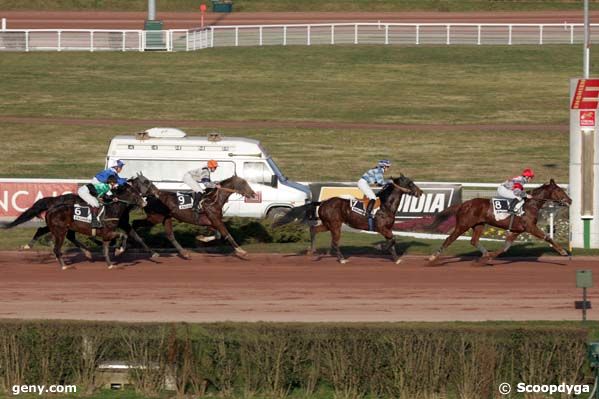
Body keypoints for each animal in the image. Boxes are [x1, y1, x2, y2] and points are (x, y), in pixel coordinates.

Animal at [274, 176, 424, 264]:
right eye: (410, 183)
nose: (421, 192)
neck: (386, 205)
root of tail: (322, 202)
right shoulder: (381, 228)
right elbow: (392, 240)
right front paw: (380, 247)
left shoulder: (388, 228)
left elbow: (392, 241)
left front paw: (396, 259)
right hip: (335, 225)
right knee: (334, 242)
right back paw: (341, 259)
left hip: (328, 224)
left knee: (314, 229)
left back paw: (312, 251)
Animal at [428, 180, 576, 264]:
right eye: (559, 190)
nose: (570, 200)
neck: (530, 205)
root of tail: (464, 204)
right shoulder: (530, 227)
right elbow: (548, 237)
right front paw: (563, 252)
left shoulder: (517, 230)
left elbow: (505, 247)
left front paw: (489, 257)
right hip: (463, 225)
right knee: (449, 239)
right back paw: (432, 258)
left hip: (479, 225)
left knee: (474, 240)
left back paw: (486, 254)